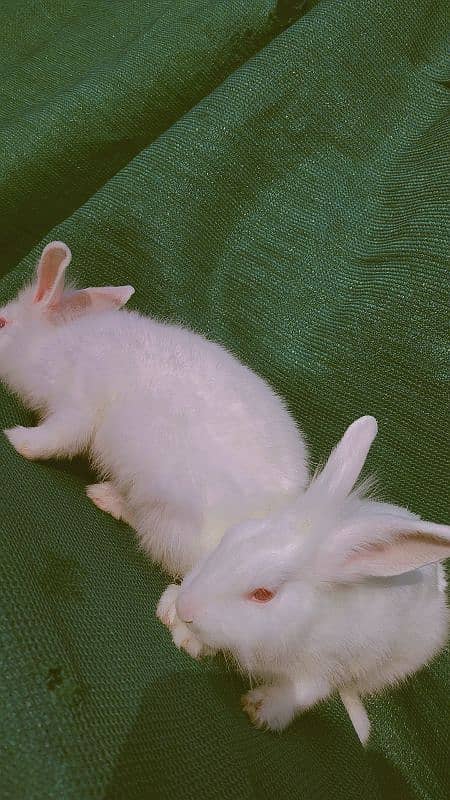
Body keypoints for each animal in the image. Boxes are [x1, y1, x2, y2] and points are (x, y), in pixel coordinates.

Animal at [0, 241, 310, 652]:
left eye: (1, 323)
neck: (47, 345)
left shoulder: (76, 407)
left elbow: (55, 439)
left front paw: (16, 439)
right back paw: (105, 496)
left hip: (173, 527)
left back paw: (181, 630)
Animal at [175, 416, 450, 748]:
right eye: (231, 536)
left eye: (263, 593)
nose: (185, 608)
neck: (306, 619)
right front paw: (181, 632)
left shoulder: (324, 666)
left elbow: (308, 692)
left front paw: (261, 709)